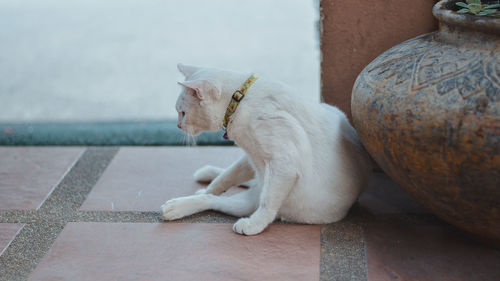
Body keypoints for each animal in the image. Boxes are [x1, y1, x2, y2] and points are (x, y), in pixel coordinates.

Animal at [160, 64, 372, 234]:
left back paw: (177, 207)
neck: (240, 99)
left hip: (251, 200)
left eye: (182, 113)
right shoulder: (251, 155)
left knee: (224, 199)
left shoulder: (283, 161)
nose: (178, 125)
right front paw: (210, 186)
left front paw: (255, 225)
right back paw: (200, 182)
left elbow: (267, 203)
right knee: (217, 192)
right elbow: (226, 176)